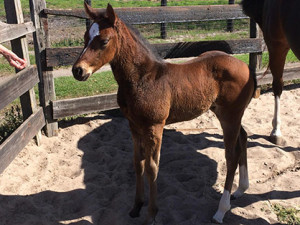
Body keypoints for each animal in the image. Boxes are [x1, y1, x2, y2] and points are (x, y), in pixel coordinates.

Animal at [72, 2, 255, 224]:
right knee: (243, 137)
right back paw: (241, 189)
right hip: (226, 113)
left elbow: (152, 168)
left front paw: (151, 213)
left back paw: (221, 210)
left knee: (231, 155)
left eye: (104, 40)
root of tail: (246, 66)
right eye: (85, 37)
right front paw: (136, 206)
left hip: (230, 115)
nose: (78, 71)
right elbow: (138, 163)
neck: (143, 79)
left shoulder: (155, 127)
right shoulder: (134, 125)